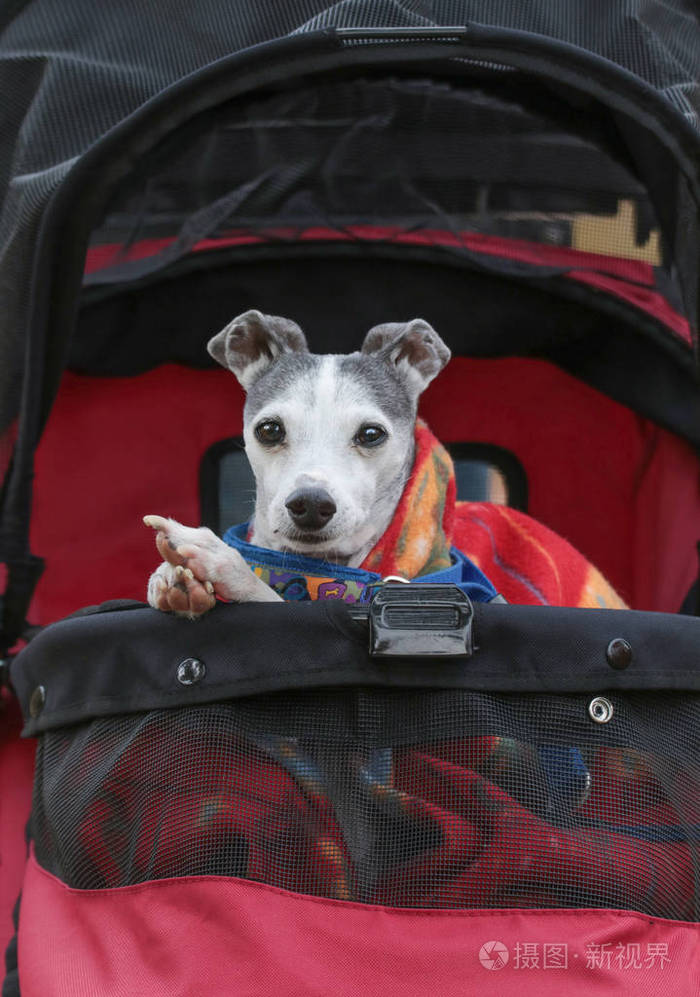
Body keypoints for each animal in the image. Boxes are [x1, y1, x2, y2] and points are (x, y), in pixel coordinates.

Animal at [146, 308, 452, 620]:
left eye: (371, 433)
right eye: (270, 429)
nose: (312, 504)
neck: (314, 570)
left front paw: (227, 565)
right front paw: (175, 580)